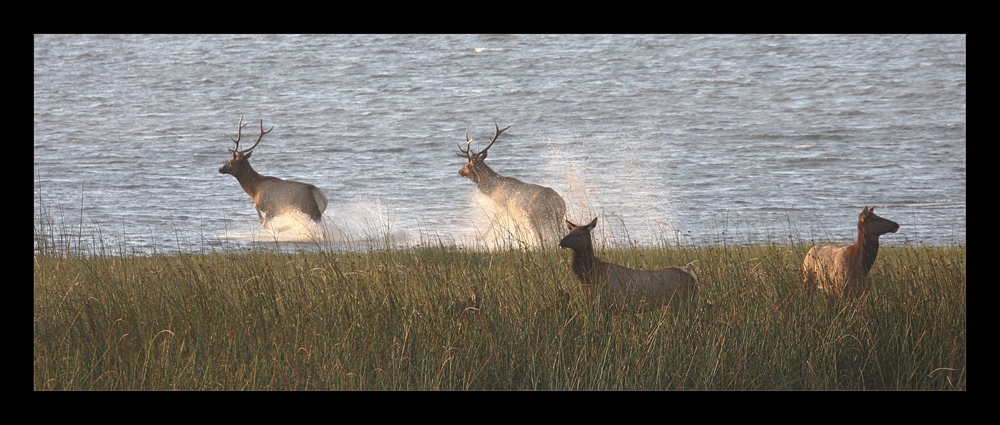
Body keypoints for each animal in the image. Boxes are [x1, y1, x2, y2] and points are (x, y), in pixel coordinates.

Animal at [458, 119, 568, 247]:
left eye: (467, 165)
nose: (459, 171)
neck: (493, 190)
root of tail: (558, 203)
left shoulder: (501, 206)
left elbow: (494, 222)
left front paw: (481, 238)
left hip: (534, 217)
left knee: (540, 237)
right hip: (556, 219)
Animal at [560, 217, 700, 306]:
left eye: (579, 234)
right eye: (570, 231)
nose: (561, 242)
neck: (591, 276)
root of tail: (690, 271)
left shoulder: (616, 303)